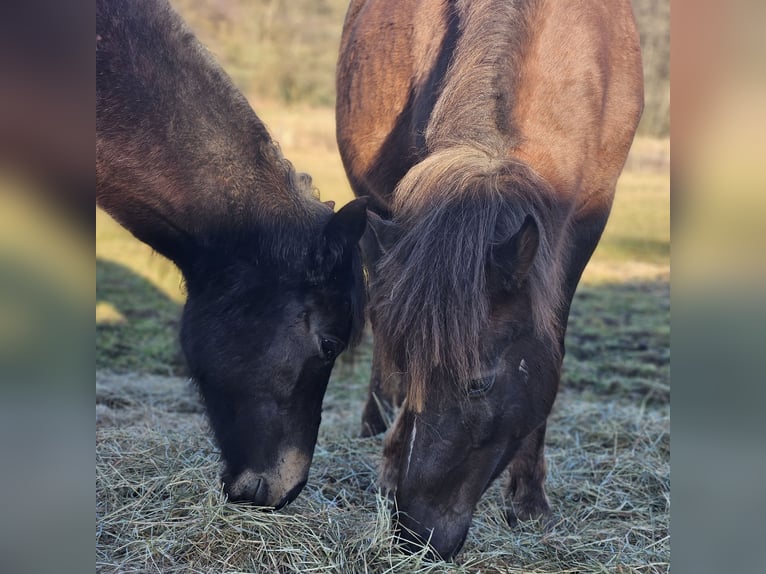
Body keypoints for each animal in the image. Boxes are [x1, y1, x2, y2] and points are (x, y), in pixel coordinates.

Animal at [340, 0, 644, 564]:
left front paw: (529, 501)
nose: (413, 534)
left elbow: (554, 341)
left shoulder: (582, 231)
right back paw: (377, 422)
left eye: (478, 382)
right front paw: (391, 463)